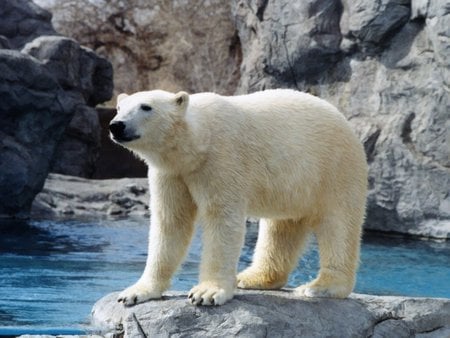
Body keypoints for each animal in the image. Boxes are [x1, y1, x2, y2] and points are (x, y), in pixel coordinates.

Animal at [110, 89, 370, 306]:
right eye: (119, 107)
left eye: (146, 107)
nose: (116, 125)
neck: (198, 142)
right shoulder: (172, 174)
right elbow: (171, 223)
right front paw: (134, 292)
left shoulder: (222, 161)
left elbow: (222, 221)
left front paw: (207, 293)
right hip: (293, 188)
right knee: (280, 229)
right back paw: (252, 277)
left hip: (333, 169)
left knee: (338, 225)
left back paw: (320, 287)